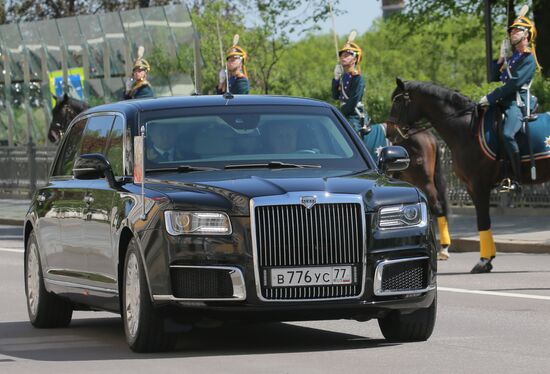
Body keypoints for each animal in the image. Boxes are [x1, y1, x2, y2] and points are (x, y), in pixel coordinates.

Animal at [390, 78, 550, 272]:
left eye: (398, 101)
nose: (391, 133)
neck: (466, 129)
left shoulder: (479, 185)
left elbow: (483, 220)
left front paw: (484, 261)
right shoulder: (471, 187)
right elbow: (483, 221)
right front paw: (488, 259)